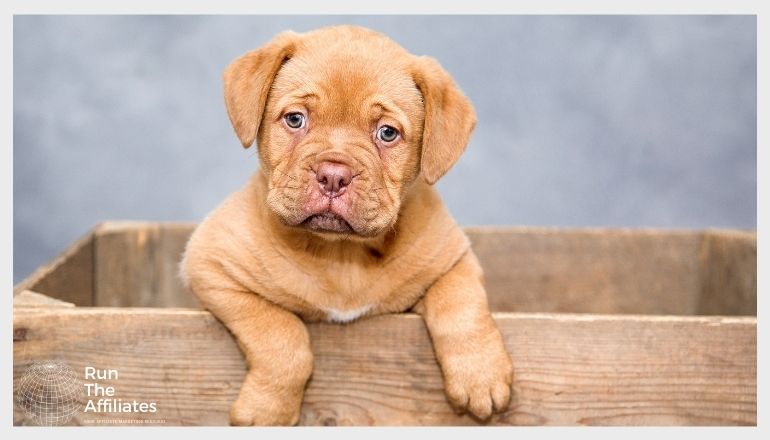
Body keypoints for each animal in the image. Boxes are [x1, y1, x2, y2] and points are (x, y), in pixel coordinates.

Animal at [183, 24, 512, 426]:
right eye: (295, 119)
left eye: (387, 133)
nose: (333, 175)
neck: (340, 253)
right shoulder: (211, 265)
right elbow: (280, 334)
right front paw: (267, 410)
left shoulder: (453, 259)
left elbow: (461, 306)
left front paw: (480, 377)